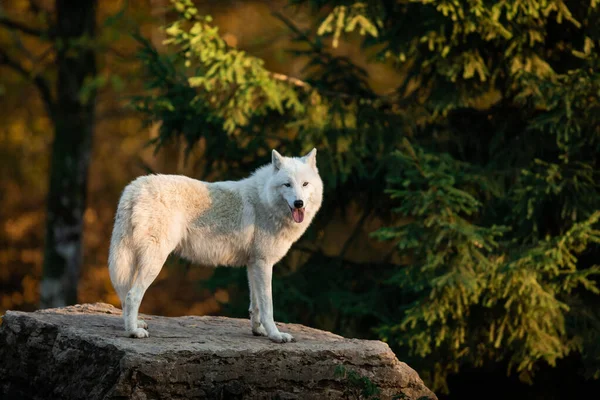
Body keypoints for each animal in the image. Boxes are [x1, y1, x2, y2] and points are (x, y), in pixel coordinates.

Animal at [108, 148, 324, 342]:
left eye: (305, 184)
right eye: (287, 184)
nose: (299, 203)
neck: (264, 201)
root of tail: (134, 188)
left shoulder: (253, 264)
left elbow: (255, 306)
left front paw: (258, 331)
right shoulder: (263, 263)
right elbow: (267, 307)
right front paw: (276, 335)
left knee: (124, 294)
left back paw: (135, 323)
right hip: (154, 261)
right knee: (131, 295)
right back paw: (133, 332)